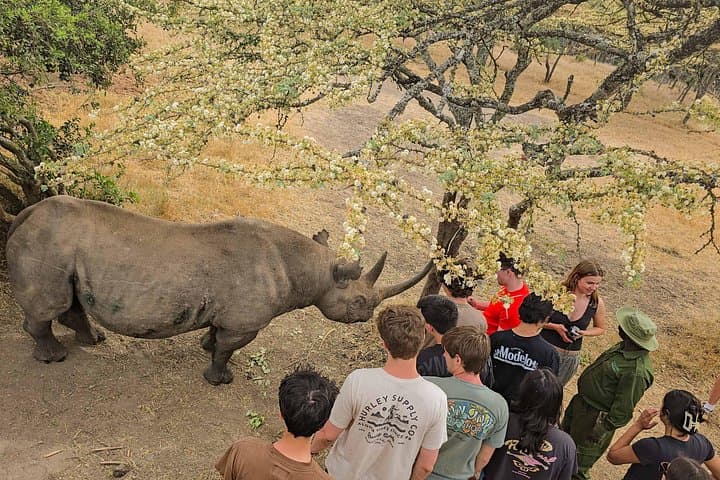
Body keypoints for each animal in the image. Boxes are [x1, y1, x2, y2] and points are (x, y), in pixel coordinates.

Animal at [6, 196, 431, 385]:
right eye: (358, 301)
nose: (367, 315)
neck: (313, 269)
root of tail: (24, 214)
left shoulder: (229, 313)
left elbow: (216, 334)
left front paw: (205, 347)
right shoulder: (246, 321)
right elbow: (229, 348)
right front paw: (220, 379)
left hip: (61, 248)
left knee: (68, 300)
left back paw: (94, 339)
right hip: (48, 242)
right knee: (48, 306)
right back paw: (54, 358)